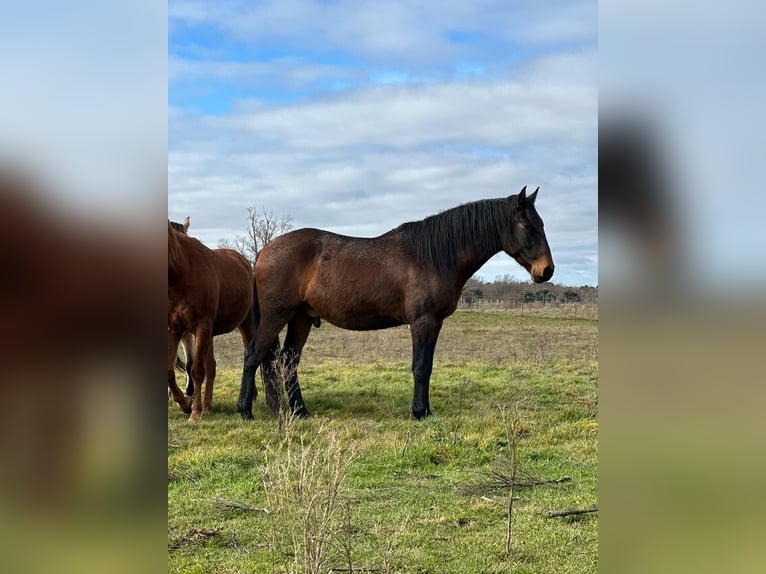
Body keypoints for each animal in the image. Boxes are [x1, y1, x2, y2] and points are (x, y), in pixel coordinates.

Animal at [168, 220, 255, 424]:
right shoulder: (175, 330)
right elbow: (169, 371)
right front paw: (185, 403)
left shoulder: (201, 327)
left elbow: (197, 370)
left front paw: (194, 412)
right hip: (210, 333)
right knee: (212, 366)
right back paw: (207, 406)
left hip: (245, 325)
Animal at [237, 187, 556, 420]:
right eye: (526, 224)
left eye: (542, 223)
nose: (547, 270)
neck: (435, 256)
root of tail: (264, 252)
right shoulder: (422, 321)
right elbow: (420, 367)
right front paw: (418, 413)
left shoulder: (436, 323)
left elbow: (428, 366)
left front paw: (426, 410)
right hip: (276, 315)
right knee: (253, 355)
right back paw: (245, 411)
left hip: (301, 317)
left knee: (289, 362)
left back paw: (301, 412)